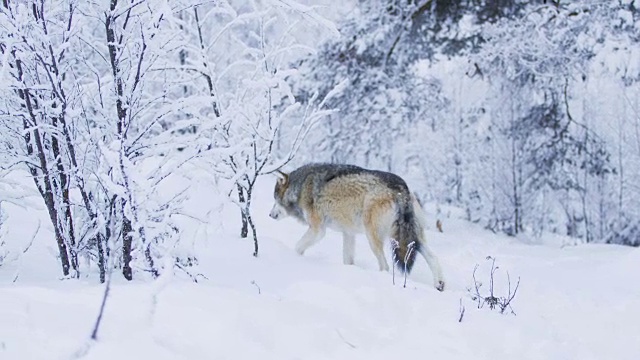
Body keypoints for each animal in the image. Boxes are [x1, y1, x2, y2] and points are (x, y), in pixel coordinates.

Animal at [266, 163, 444, 292]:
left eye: (274, 199)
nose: (270, 215)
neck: (301, 186)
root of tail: (401, 188)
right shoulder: (348, 234)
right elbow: (348, 260)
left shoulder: (318, 230)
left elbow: (298, 246)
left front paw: (294, 258)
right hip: (413, 239)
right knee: (434, 258)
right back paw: (439, 285)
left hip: (374, 237)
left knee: (385, 266)